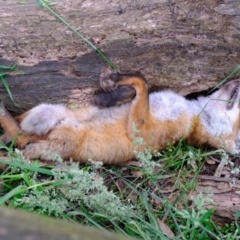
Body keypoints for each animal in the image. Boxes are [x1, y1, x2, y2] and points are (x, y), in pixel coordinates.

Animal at [0, 72, 239, 164]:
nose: (236, 79)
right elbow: (136, 87)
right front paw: (110, 92)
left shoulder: (141, 132)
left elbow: (142, 83)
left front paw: (113, 85)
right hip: (48, 111)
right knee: (19, 123)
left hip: (63, 142)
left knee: (23, 146)